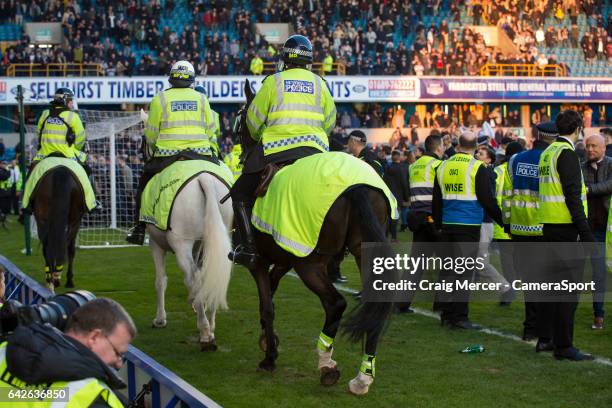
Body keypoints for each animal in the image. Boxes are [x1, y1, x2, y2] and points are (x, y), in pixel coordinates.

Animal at [30, 164, 86, 292]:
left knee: (47, 245)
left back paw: (51, 277)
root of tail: (60, 171)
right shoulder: (77, 221)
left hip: (42, 219)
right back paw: (56, 276)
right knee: (65, 244)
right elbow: (71, 249)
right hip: (73, 220)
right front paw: (69, 280)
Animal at [147, 172, 233, 350]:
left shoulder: (155, 244)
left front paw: (160, 319)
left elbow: (160, 281)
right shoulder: (198, 247)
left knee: (193, 280)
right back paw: (211, 324)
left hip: (181, 243)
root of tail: (204, 178)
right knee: (209, 278)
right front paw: (195, 302)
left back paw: (205, 331)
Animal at [237, 79, 394, 396]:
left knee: (334, 305)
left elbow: (267, 305)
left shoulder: (261, 261)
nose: (240, 151)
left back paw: (326, 363)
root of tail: (355, 185)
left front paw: (269, 356)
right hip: (362, 252)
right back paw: (362, 377)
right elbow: (271, 293)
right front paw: (268, 340)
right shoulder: (285, 254)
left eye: (242, 114)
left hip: (310, 265)